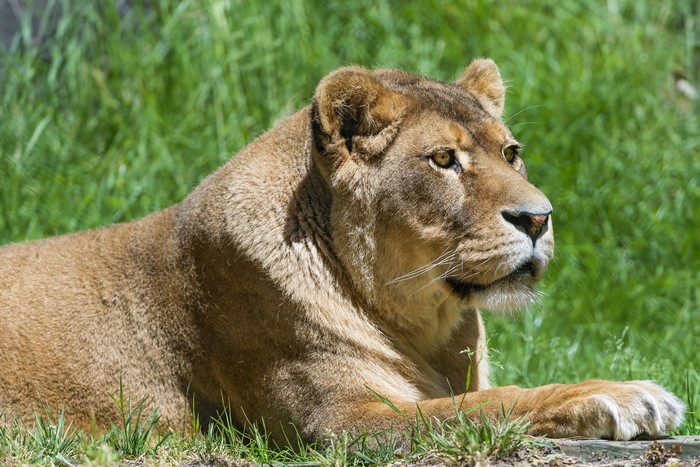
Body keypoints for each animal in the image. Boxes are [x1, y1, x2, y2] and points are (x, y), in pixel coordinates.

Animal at [0, 59, 685, 444]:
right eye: (444, 159)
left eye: (510, 153)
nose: (538, 218)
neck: (428, 324)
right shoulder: (342, 423)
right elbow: (490, 404)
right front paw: (624, 395)